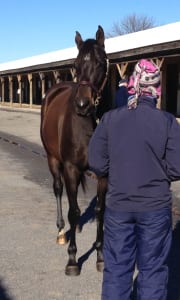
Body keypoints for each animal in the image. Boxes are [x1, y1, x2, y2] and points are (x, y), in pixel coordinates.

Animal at [40, 26, 108, 276]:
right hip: (53, 160)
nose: (82, 104)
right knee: (60, 191)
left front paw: (100, 256)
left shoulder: (104, 174)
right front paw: (72, 259)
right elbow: (73, 210)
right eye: (76, 64)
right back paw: (62, 232)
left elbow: (100, 210)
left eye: (100, 62)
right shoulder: (70, 167)